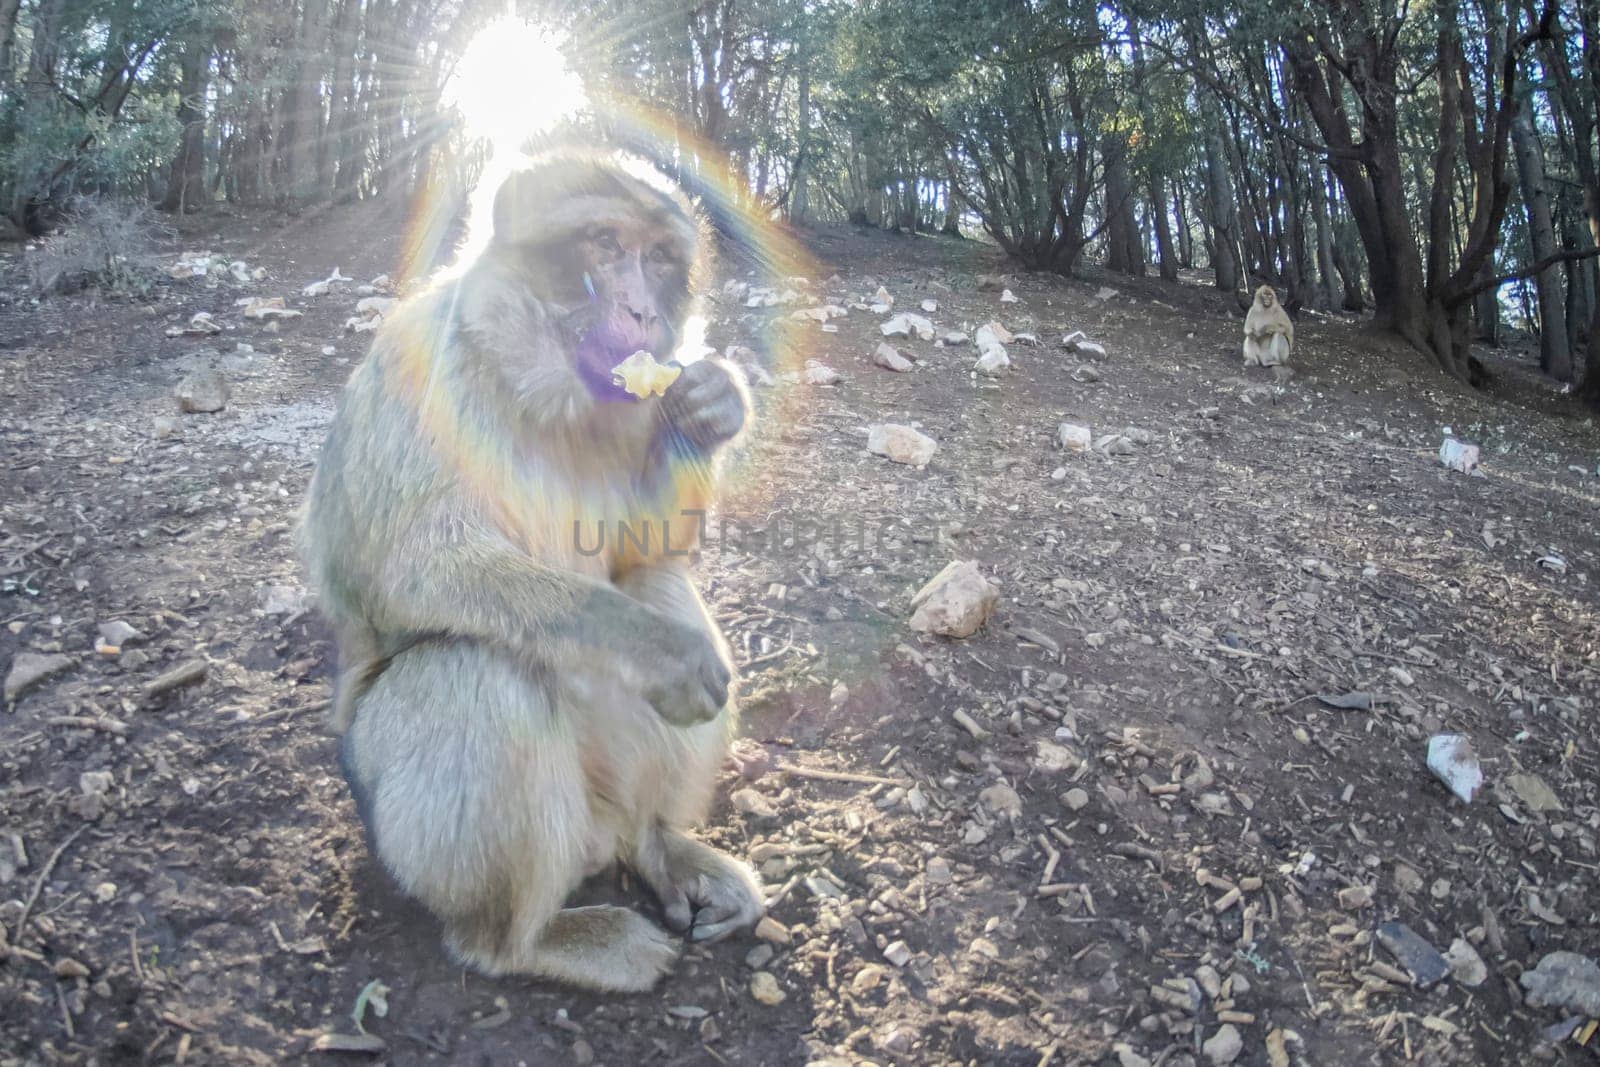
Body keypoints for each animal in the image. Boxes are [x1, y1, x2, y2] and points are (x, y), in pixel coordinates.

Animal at [305, 147, 768, 991]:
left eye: (660, 258)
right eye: (604, 244)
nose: (644, 313)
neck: (537, 388)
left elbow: (644, 549)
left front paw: (712, 407)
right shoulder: (427, 367)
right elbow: (417, 570)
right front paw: (656, 650)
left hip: (603, 802)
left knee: (658, 584)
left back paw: (657, 845)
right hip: (395, 817)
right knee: (481, 672)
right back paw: (530, 941)